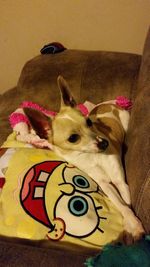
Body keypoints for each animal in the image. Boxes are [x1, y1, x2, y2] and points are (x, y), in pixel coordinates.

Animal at [24, 76, 144, 244]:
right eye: (73, 138)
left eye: (88, 122)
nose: (105, 143)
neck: (91, 157)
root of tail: (109, 103)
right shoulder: (105, 185)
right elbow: (121, 206)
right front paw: (131, 224)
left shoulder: (119, 181)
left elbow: (126, 204)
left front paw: (131, 225)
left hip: (125, 121)